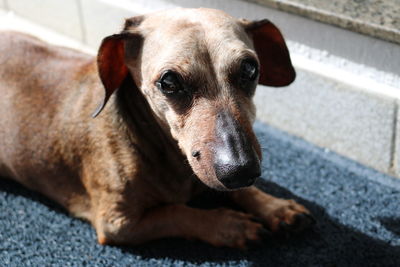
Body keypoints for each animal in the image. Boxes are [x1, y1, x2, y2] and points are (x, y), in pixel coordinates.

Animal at [0, 7, 312, 249]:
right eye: (169, 81)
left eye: (250, 69)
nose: (241, 171)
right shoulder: (117, 223)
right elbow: (176, 212)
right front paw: (230, 225)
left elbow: (235, 191)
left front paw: (274, 206)